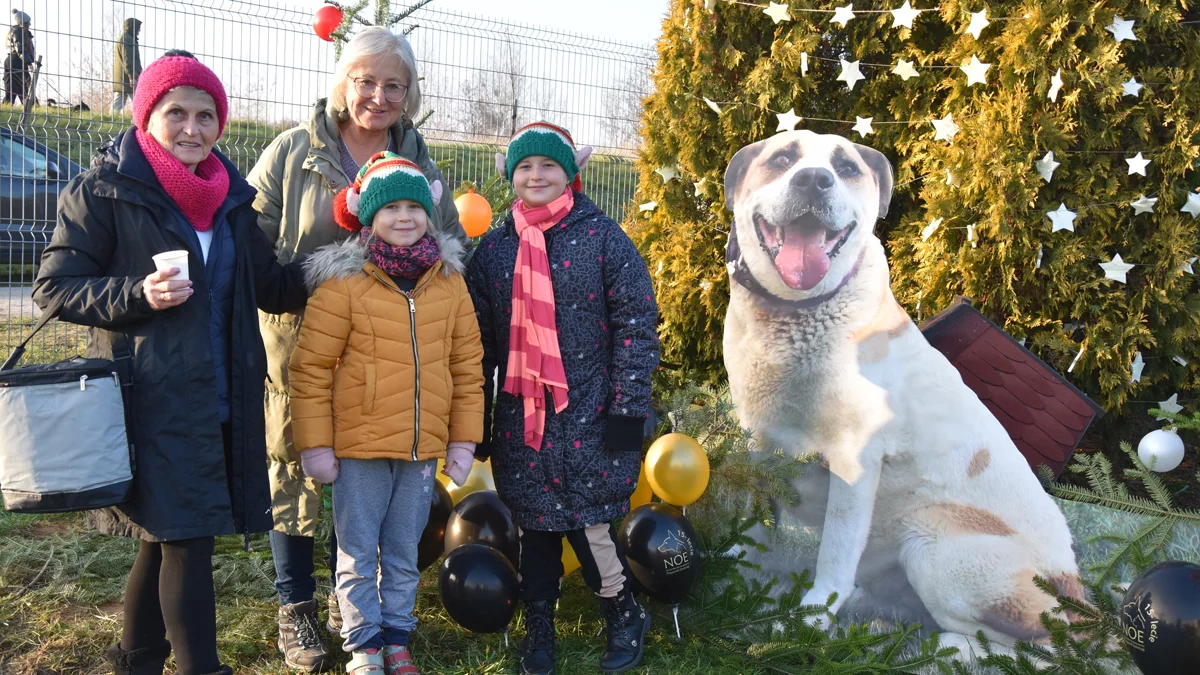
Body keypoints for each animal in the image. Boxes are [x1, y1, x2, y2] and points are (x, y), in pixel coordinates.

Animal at [724, 128, 1084, 653]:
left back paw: (949, 649)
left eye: (846, 168)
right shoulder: (757, 444)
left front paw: (810, 620)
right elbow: (755, 516)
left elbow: (834, 554)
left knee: (1044, 649)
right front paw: (735, 561)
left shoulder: (854, 468)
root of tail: (1079, 599)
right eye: (784, 158)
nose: (814, 180)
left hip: (933, 541)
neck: (798, 315)